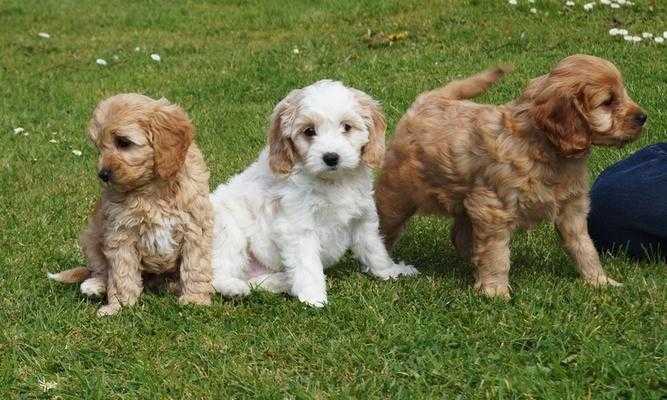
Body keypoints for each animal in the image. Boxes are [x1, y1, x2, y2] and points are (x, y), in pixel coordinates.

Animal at [48, 94, 213, 316]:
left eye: (123, 142)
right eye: (99, 147)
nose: (103, 174)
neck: (152, 189)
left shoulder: (195, 228)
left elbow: (195, 266)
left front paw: (195, 300)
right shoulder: (120, 233)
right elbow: (121, 273)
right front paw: (119, 306)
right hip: (91, 237)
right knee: (100, 269)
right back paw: (95, 286)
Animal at [211, 80, 418, 306]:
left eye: (347, 127)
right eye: (309, 131)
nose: (331, 157)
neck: (333, 181)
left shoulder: (362, 218)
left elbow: (374, 249)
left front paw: (391, 271)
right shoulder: (298, 227)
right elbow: (307, 264)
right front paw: (314, 298)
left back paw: (283, 283)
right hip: (228, 232)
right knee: (215, 274)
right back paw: (233, 288)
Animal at [376, 54, 648, 296]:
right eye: (608, 102)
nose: (643, 117)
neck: (545, 148)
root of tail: (429, 99)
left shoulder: (572, 208)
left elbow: (584, 246)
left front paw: (599, 281)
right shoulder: (494, 208)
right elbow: (497, 253)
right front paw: (495, 291)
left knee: (460, 235)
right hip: (398, 193)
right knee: (386, 224)